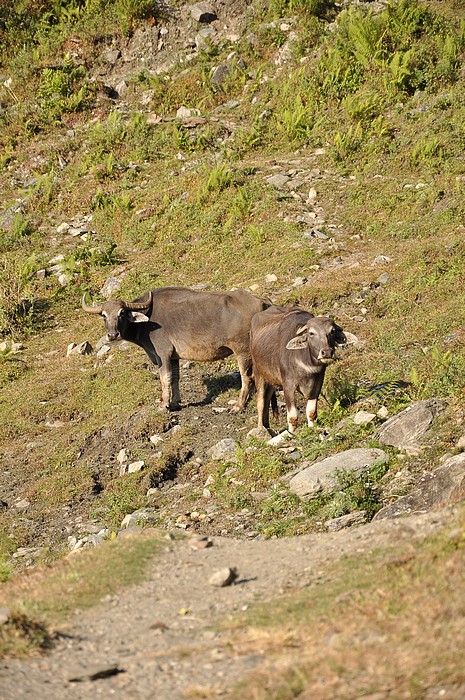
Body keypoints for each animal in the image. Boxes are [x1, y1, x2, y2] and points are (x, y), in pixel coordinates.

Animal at [82, 286, 271, 412]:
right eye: (104, 315)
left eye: (121, 313)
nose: (112, 335)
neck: (147, 321)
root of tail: (262, 302)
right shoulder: (174, 357)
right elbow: (175, 378)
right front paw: (175, 402)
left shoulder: (162, 354)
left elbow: (164, 378)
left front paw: (164, 405)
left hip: (242, 352)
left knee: (247, 377)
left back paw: (238, 406)